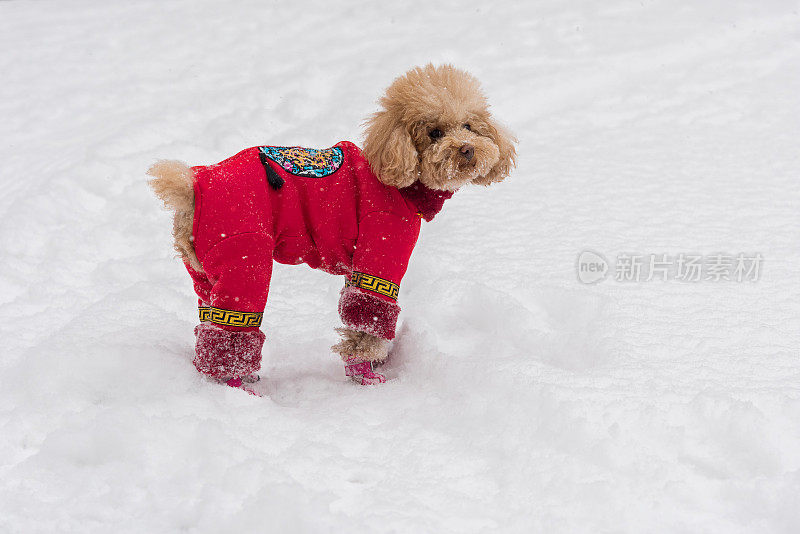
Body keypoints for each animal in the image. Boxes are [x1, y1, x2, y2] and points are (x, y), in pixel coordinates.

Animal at [147, 65, 516, 392]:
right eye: (434, 132)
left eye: (469, 125)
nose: (467, 149)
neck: (400, 182)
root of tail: (192, 187)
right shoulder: (381, 246)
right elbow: (368, 321)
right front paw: (366, 376)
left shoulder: (357, 265)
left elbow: (355, 313)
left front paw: (366, 367)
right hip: (243, 258)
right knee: (229, 334)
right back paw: (238, 388)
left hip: (204, 273)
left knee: (206, 327)